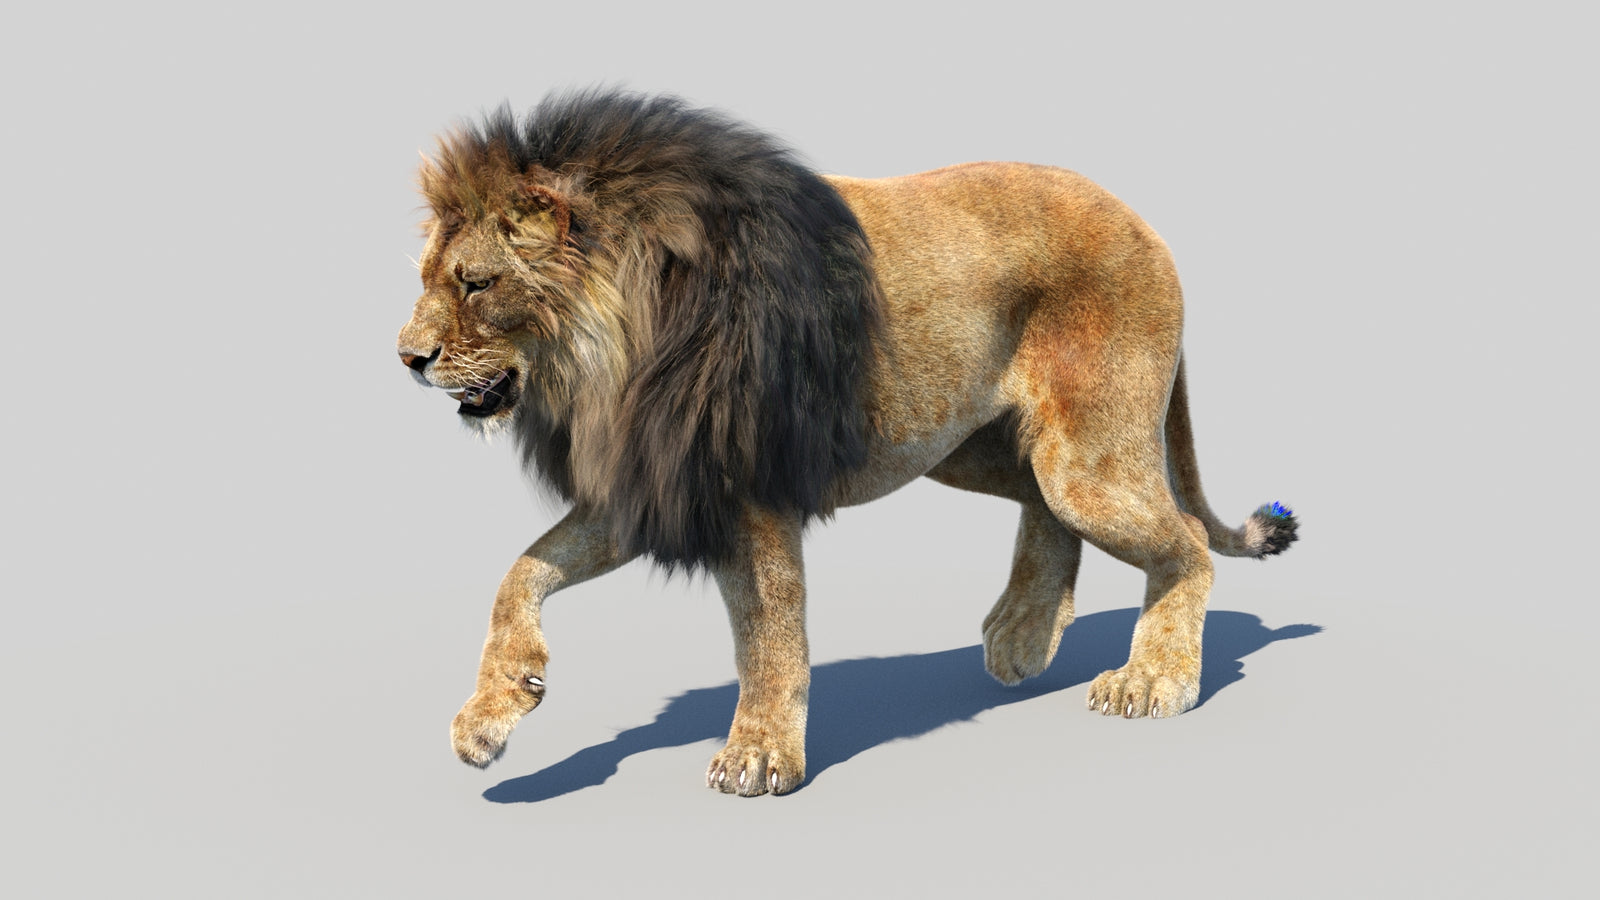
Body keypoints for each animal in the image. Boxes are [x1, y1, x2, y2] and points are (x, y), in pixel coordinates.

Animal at [397, 89, 1298, 796]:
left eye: (476, 283)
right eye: (427, 279)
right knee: (1048, 510)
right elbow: (520, 573)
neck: (600, 362)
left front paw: (760, 757)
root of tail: (1143, 222)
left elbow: (769, 635)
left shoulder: (745, 487)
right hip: (968, 445)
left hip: (1084, 459)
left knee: (1186, 541)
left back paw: (1155, 678)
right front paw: (490, 715)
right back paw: (1026, 633)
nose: (406, 357)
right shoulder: (652, 480)